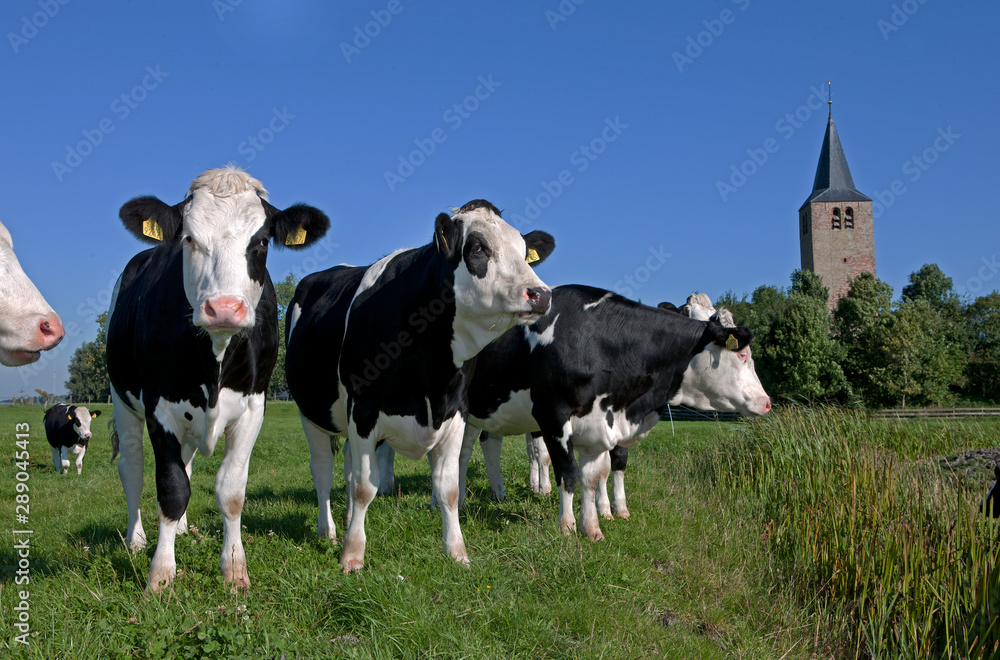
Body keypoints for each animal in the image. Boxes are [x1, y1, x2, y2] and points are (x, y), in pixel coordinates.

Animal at [107, 166, 330, 592]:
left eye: (261, 241)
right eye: (189, 238)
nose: (224, 308)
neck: (216, 358)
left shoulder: (254, 407)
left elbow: (230, 491)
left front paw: (235, 569)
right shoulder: (159, 407)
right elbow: (171, 488)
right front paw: (160, 575)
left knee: (187, 463)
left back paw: (180, 530)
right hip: (121, 397)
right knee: (132, 468)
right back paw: (136, 539)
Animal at [286, 200, 556, 572]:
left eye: (521, 247)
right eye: (478, 248)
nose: (541, 294)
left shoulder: (455, 412)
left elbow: (448, 489)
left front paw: (457, 552)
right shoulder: (363, 411)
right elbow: (364, 488)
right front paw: (352, 555)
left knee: (348, 470)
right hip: (311, 412)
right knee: (323, 471)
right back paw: (327, 531)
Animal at [442, 284, 768, 540]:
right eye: (742, 354)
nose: (766, 402)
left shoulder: (602, 422)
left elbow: (599, 472)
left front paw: (600, 521)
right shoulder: (553, 418)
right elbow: (568, 473)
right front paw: (568, 526)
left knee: (486, 445)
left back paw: (495, 494)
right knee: (464, 451)